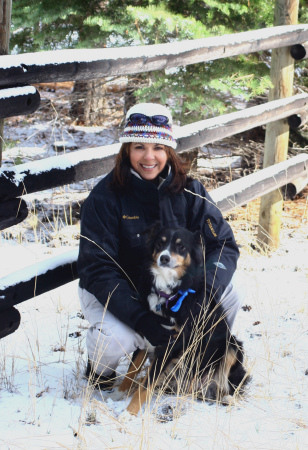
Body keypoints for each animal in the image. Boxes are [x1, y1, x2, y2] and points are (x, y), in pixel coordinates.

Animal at [112, 223, 247, 416]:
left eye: (181, 246)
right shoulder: (148, 331)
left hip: (232, 346)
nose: (164, 258)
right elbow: (133, 368)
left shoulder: (171, 345)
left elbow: (147, 384)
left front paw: (129, 414)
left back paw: (227, 397)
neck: (168, 293)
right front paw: (119, 392)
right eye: (160, 244)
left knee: (228, 384)